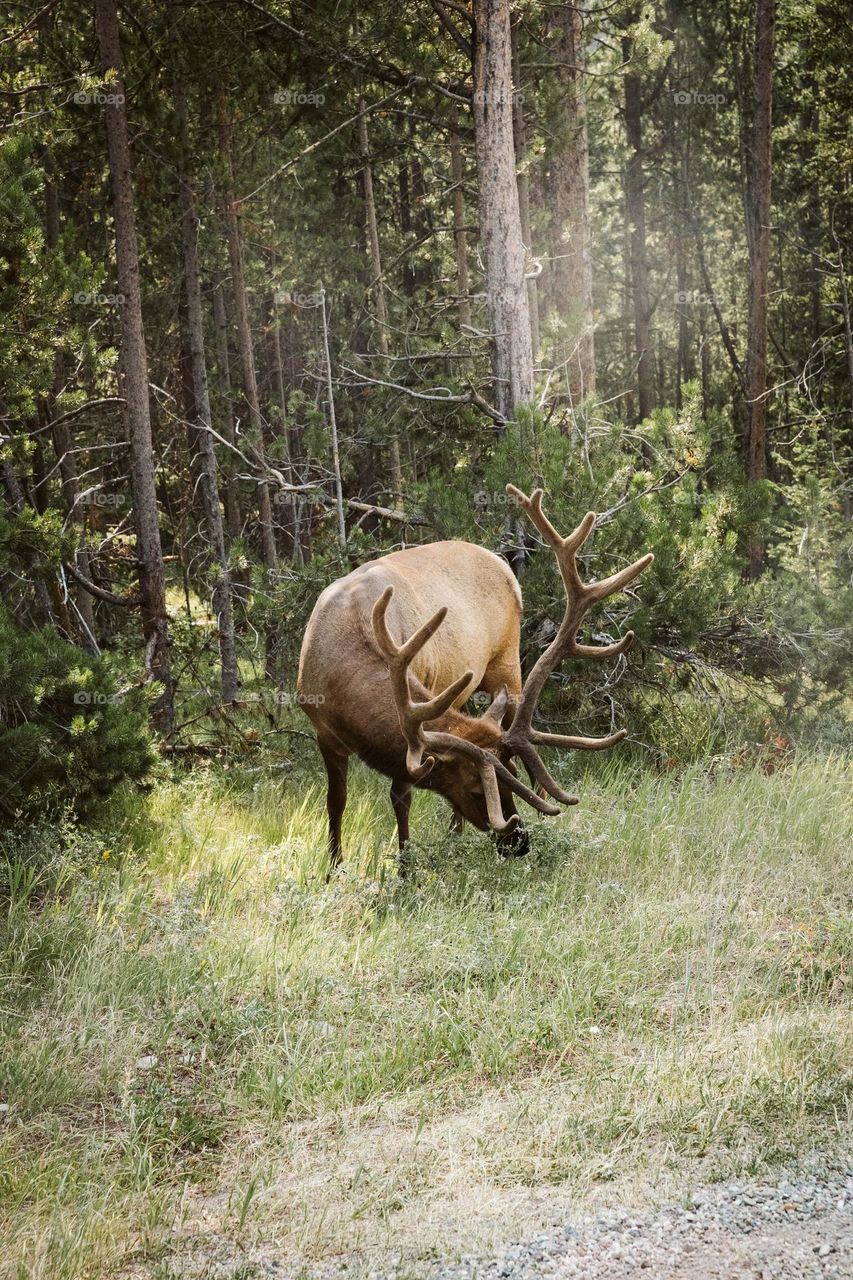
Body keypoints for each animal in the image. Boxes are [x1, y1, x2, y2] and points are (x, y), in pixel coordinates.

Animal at [297, 485, 653, 870]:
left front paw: (405, 870)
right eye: (476, 790)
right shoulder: (322, 731)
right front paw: (333, 867)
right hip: (464, 688)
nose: (518, 842)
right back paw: (455, 836)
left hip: (507, 663)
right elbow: (337, 801)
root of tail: (500, 561)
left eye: (510, 780)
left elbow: (400, 798)